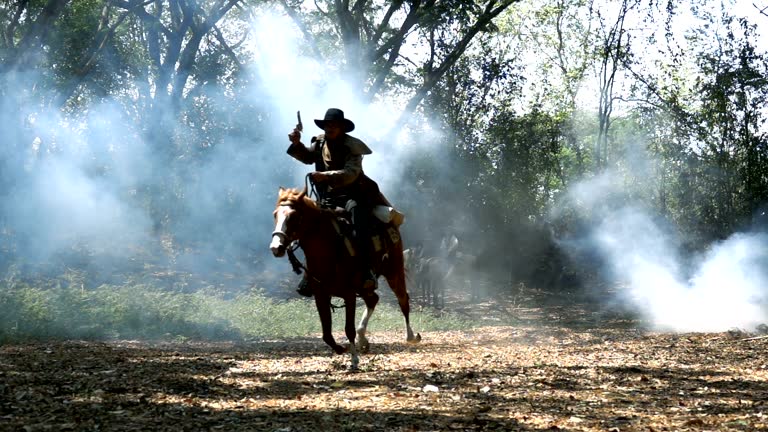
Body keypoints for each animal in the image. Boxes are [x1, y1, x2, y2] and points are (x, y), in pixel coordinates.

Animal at [268, 186, 416, 368]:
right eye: (275, 214)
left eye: (294, 216)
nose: (276, 247)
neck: (328, 251)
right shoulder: (321, 296)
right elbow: (326, 334)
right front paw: (342, 349)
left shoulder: (349, 294)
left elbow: (348, 329)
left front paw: (354, 359)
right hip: (366, 286)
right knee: (373, 299)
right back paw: (363, 339)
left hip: (394, 272)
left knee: (402, 299)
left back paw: (411, 336)